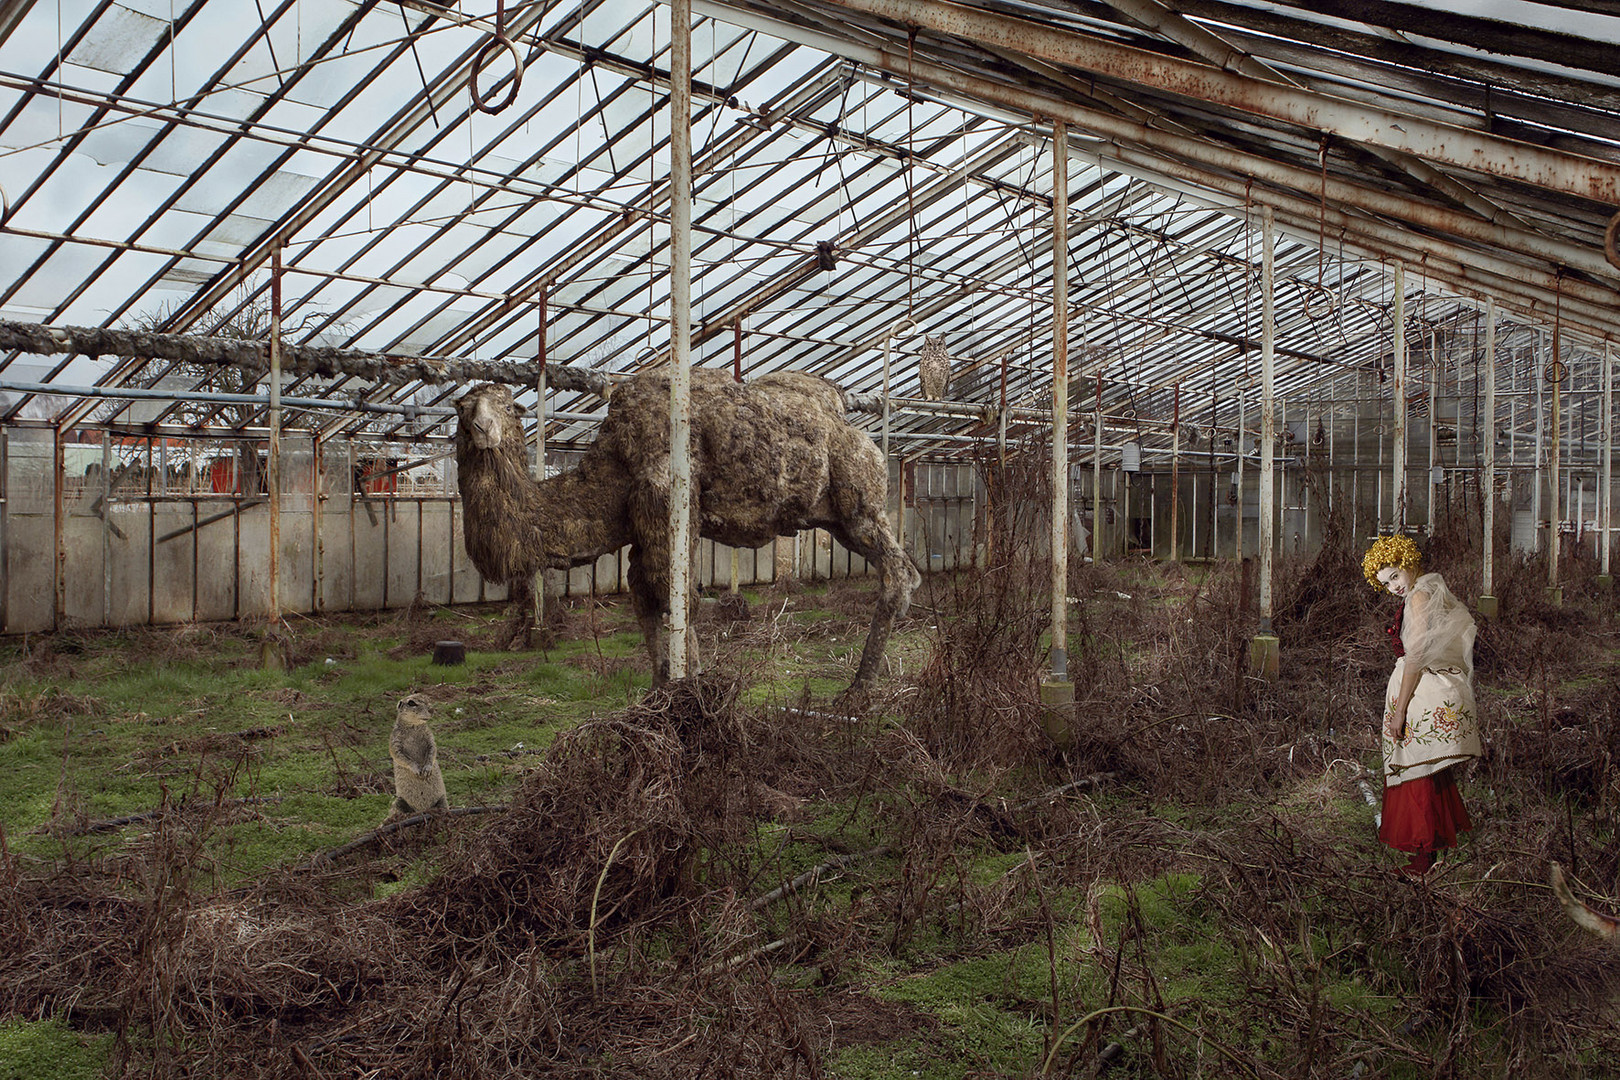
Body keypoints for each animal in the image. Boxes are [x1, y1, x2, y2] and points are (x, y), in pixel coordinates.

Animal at [453, 372, 926, 689]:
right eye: (462, 408)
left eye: (508, 407)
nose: (482, 429)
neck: (615, 462)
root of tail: (853, 430)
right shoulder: (641, 528)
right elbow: (643, 595)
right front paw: (660, 688)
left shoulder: (668, 503)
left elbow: (678, 599)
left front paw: (690, 697)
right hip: (835, 519)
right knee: (902, 571)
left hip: (860, 502)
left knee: (899, 572)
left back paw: (858, 693)